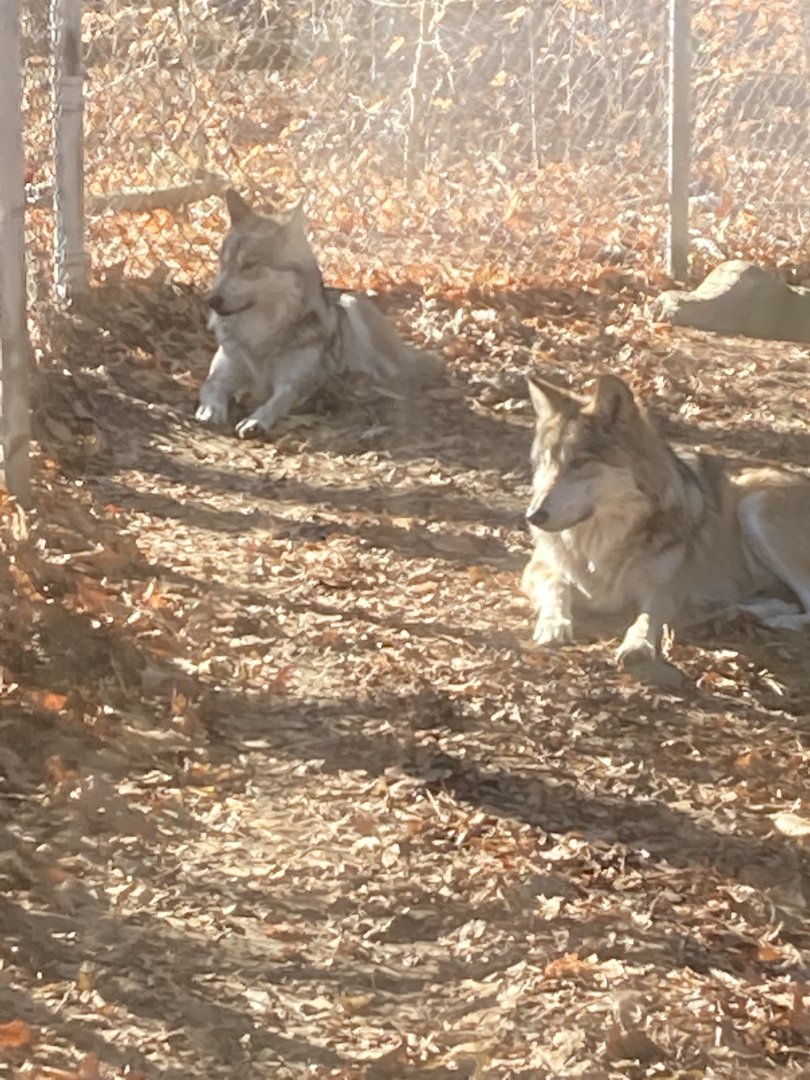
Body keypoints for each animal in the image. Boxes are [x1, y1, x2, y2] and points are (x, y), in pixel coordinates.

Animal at [196, 189, 435, 439]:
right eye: (223, 263)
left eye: (249, 265)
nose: (211, 300)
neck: (260, 335)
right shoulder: (224, 371)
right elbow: (209, 386)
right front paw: (210, 410)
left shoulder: (291, 384)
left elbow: (276, 402)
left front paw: (256, 420)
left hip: (351, 305)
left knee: (395, 374)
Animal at [522, 372, 810, 687]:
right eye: (544, 463)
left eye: (578, 462)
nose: (533, 516)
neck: (599, 543)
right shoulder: (538, 567)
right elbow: (558, 587)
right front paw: (553, 625)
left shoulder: (663, 589)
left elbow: (646, 618)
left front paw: (637, 645)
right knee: (783, 603)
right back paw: (731, 613)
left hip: (756, 506)